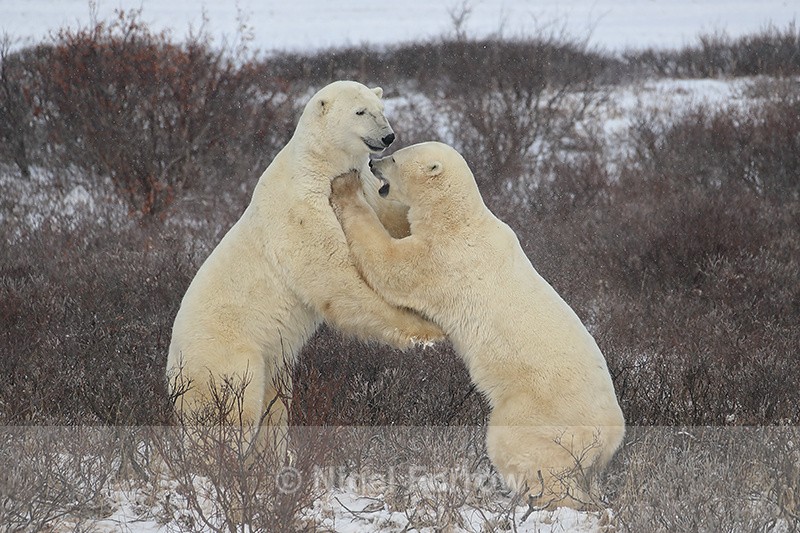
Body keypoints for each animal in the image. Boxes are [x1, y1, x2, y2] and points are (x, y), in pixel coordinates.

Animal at [166, 81, 443, 453]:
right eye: (360, 111)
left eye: (382, 109)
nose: (388, 136)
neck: (318, 164)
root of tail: (172, 372)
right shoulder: (301, 207)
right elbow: (333, 275)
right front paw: (427, 332)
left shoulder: (367, 189)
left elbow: (389, 221)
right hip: (227, 357)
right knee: (229, 415)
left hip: (272, 361)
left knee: (274, 405)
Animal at [330, 141, 625, 510]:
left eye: (396, 157)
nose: (373, 163)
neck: (458, 220)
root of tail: (611, 434)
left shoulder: (444, 260)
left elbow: (391, 266)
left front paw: (345, 187)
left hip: (541, 412)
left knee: (522, 449)